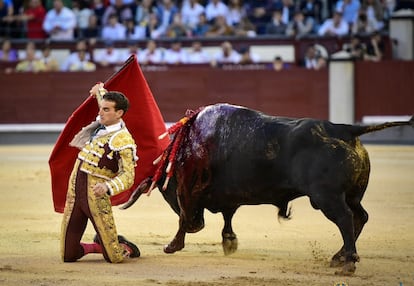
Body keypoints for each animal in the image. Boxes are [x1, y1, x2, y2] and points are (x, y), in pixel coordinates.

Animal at [121, 103, 412, 274]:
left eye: (164, 189)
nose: (198, 224)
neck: (186, 143)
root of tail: (346, 130)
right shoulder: (228, 194)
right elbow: (227, 216)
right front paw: (229, 242)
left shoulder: (189, 188)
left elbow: (184, 215)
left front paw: (172, 245)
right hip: (351, 195)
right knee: (359, 217)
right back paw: (339, 256)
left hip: (326, 197)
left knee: (344, 218)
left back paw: (348, 262)